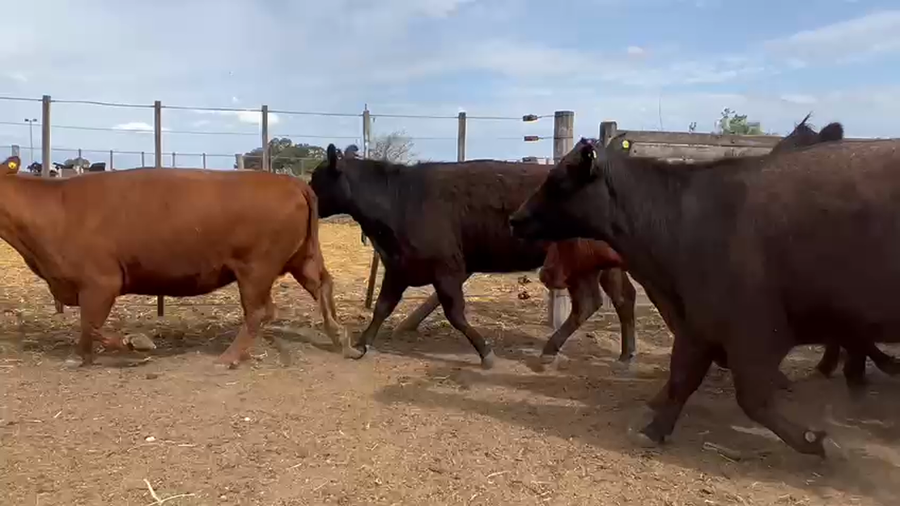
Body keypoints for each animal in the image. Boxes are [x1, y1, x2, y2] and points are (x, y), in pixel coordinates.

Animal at [0, 155, 345, 367]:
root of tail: (291, 182)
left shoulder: (101, 282)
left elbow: (92, 324)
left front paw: (136, 343)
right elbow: (88, 327)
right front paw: (81, 357)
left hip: (255, 269)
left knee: (259, 312)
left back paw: (228, 358)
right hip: (299, 258)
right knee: (321, 286)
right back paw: (340, 338)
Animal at [308, 145, 638, 369]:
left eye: (317, 178)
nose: (304, 193)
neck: (399, 198)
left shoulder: (447, 270)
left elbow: (455, 313)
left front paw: (485, 353)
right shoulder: (398, 268)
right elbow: (382, 307)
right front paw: (361, 344)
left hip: (578, 266)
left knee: (590, 303)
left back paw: (551, 351)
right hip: (600, 266)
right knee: (618, 299)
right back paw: (624, 355)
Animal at [509, 136, 900, 456]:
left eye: (558, 180)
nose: (515, 219)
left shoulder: (751, 331)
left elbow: (751, 397)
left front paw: (815, 440)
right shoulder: (699, 324)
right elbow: (684, 377)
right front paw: (654, 428)